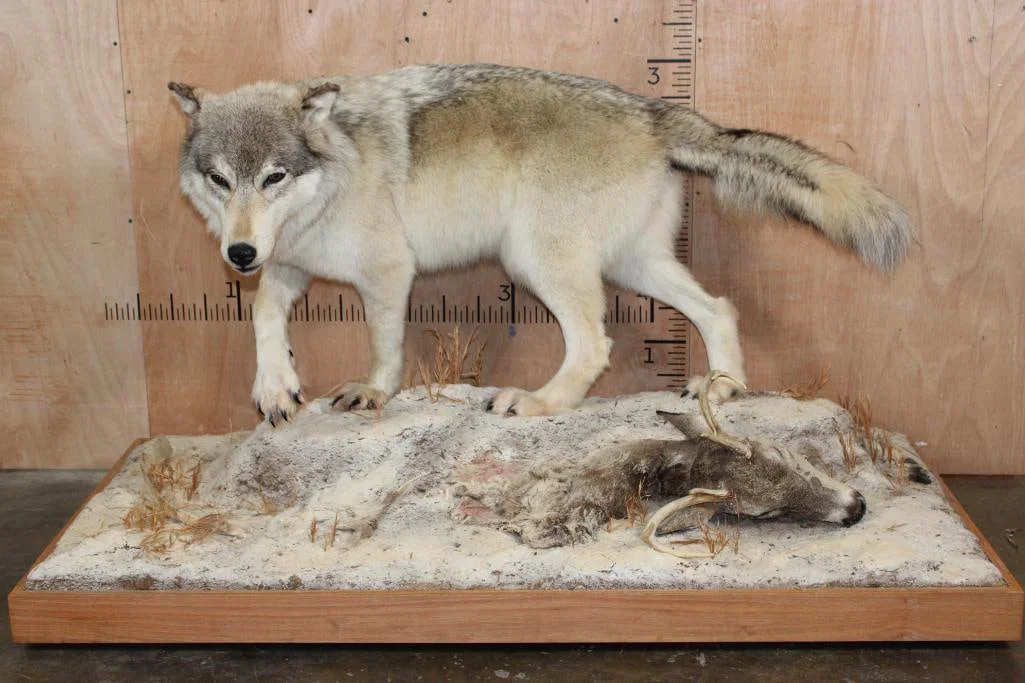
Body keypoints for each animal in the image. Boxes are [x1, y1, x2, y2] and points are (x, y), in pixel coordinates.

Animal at [169, 64, 911, 423]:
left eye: (273, 177)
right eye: (220, 179)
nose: (237, 255)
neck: (336, 171)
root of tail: (656, 112)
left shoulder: (387, 273)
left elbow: (384, 351)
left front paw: (373, 394)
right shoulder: (290, 267)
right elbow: (261, 315)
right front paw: (276, 387)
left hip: (537, 262)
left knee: (595, 344)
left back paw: (539, 403)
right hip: (635, 266)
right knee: (719, 308)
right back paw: (723, 390)